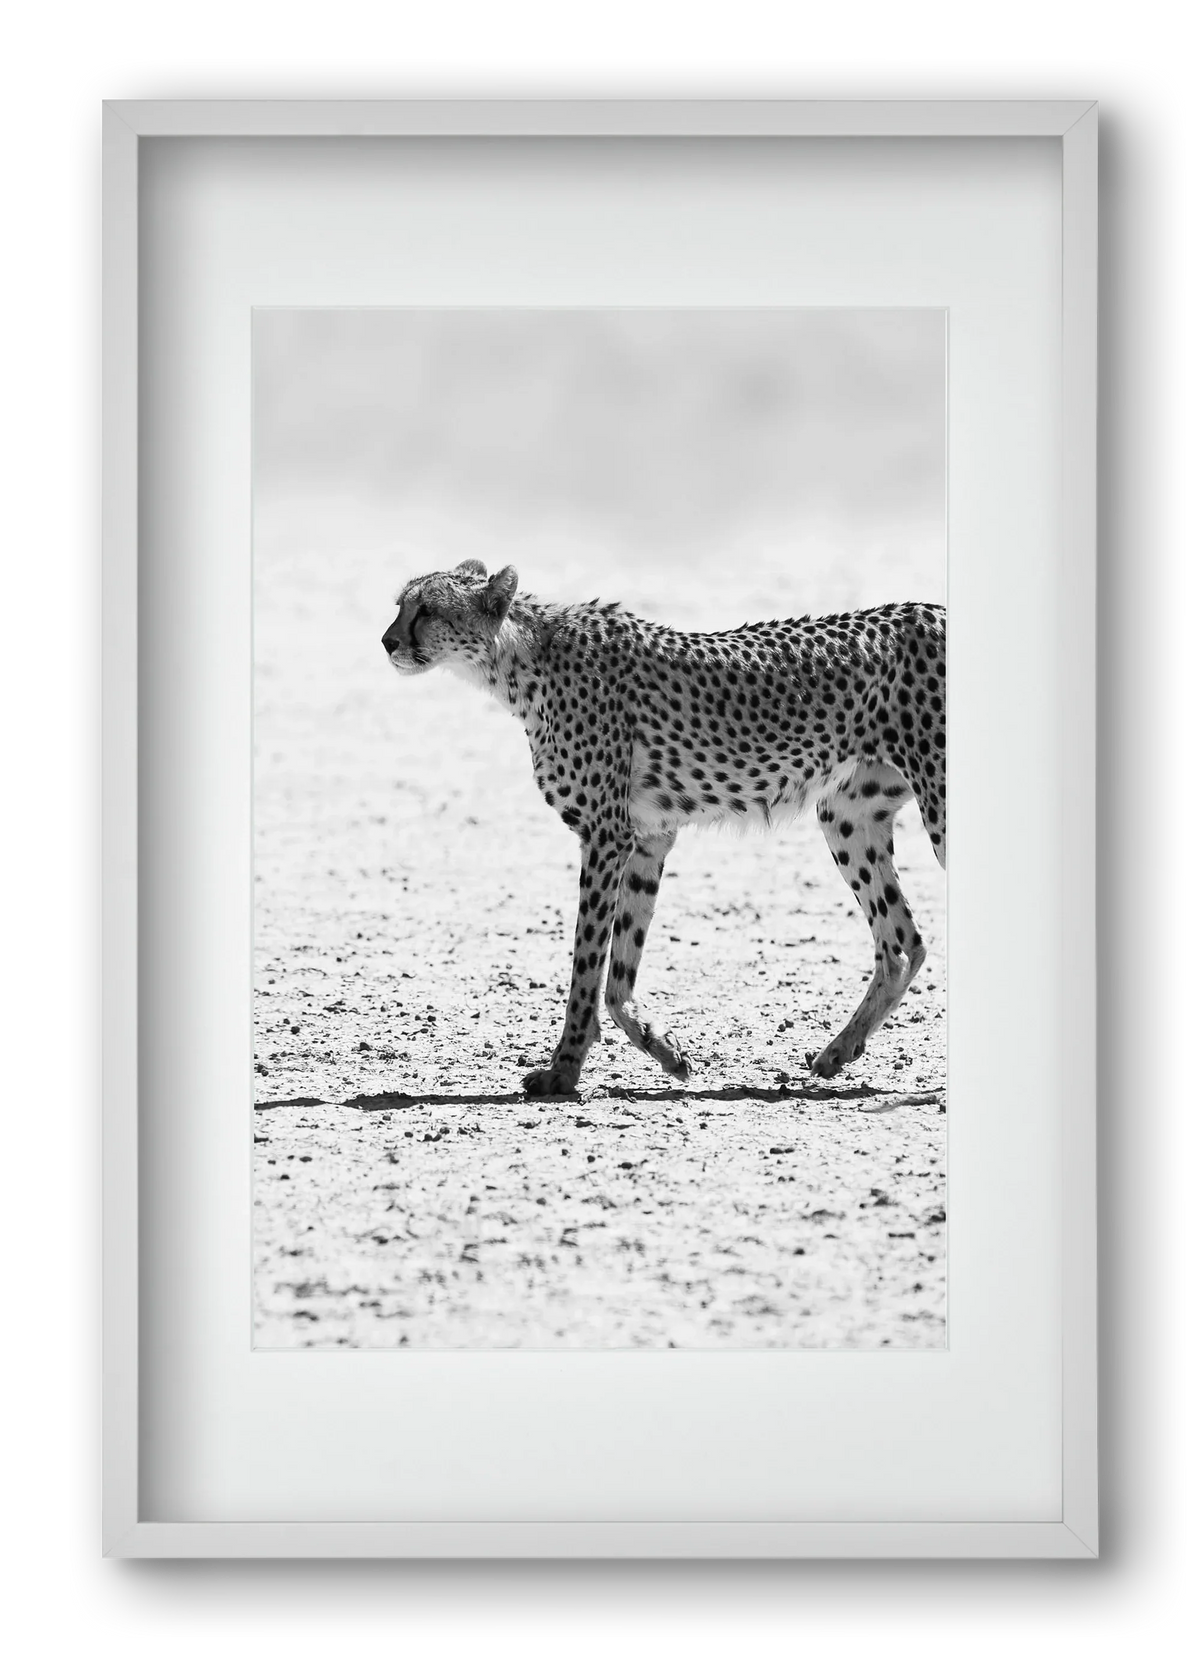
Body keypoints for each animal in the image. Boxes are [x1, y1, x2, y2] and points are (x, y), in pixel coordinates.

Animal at [383, 559, 946, 1097]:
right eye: (400, 605)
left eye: (427, 610)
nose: (387, 641)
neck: (519, 660)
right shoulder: (648, 838)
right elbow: (618, 973)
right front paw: (666, 1050)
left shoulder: (606, 835)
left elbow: (587, 964)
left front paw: (563, 1071)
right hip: (847, 816)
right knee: (902, 942)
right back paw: (838, 1052)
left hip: (936, 805)